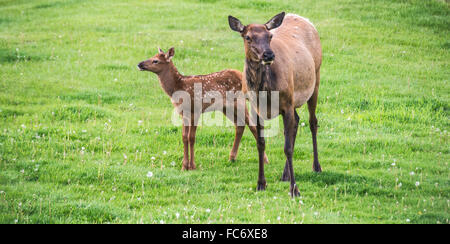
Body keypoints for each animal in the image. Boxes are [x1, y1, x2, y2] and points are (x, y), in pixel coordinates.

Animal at [229, 12, 324, 197]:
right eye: (248, 37)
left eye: (270, 36)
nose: (268, 55)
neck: (265, 91)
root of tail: (305, 19)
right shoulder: (256, 108)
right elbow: (260, 144)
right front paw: (261, 183)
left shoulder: (287, 103)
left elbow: (287, 148)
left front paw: (295, 190)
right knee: (297, 120)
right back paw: (285, 174)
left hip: (315, 79)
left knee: (312, 122)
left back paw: (316, 166)